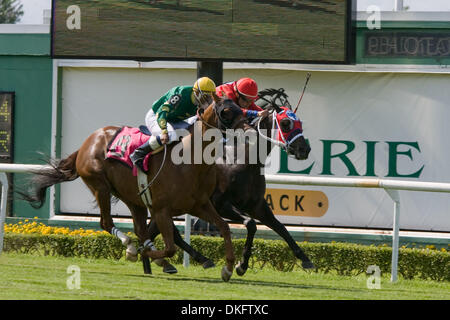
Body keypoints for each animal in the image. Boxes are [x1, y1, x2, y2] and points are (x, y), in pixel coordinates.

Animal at [19, 96, 246, 282]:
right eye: (226, 111)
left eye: (241, 108)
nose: (247, 131)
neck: (189, 159)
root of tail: (88, 142)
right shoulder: (161, 209)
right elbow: (170, 248)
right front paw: (143, 253)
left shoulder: (199, 205)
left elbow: (224, 228)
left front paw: (228, 268)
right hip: (100, 186)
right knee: (107, 223)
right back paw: (131, 248)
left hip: (133, 198)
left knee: (139, 229)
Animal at [148, 88, 312, 276]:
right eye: (285, 123)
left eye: (299, 122)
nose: (304, 149)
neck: (240, 158)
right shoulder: (220, 204)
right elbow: (251, 224)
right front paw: (241, 265)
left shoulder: (256, 205)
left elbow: (281, 228)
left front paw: (306, 259)